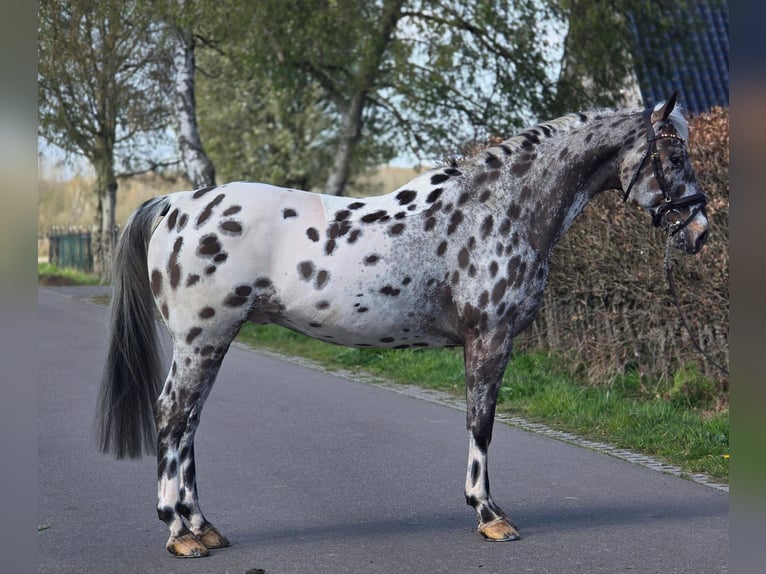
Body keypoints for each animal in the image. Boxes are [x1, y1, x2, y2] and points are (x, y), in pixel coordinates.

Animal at [97, 93, 709, 557]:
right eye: (675, 155)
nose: (700, 229)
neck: (500, 209)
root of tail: (178, 203)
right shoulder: (489, 339)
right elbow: (481, 424)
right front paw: (489, 514)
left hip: (211, 342)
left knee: (188, 423)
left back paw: (203, 526)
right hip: (201, 340)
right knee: (172, 416)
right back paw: (179, 532)